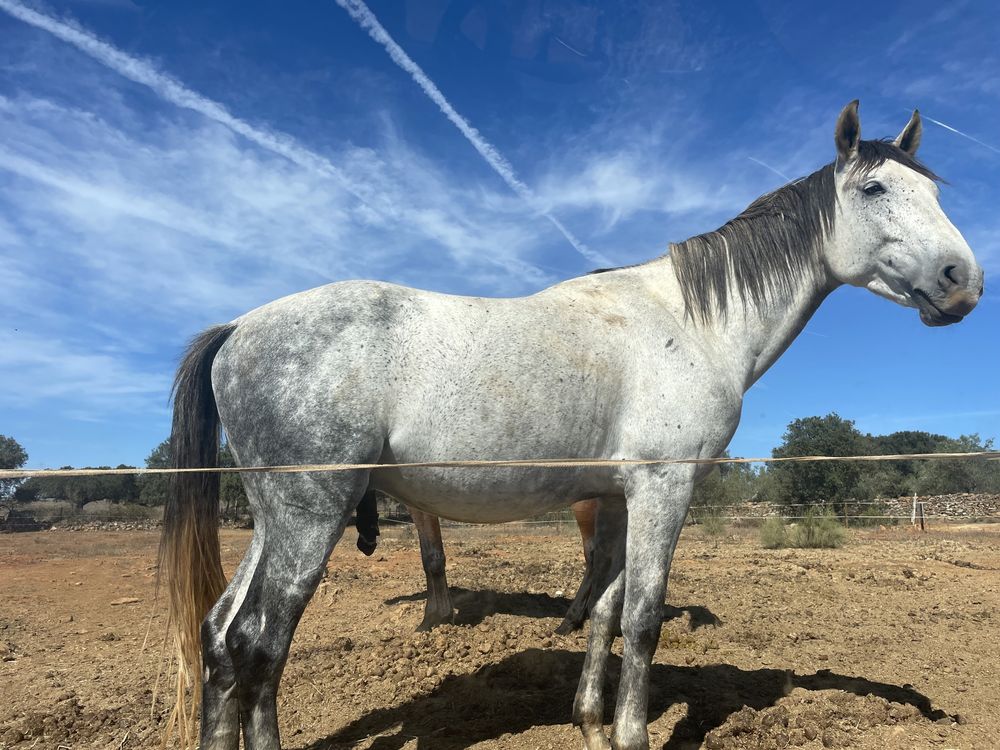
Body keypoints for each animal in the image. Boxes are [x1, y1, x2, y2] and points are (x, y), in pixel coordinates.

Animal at [160, 101, 980, 750]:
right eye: (874, 188)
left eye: (933, 190)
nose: (963, 281)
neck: (691, 322)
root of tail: (239, 329)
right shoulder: (663, 492)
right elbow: (643, 618)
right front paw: (633, 734)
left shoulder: (615, 500)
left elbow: (606, 612)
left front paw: (590, 723)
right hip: (312, 514)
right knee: (261, 646)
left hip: (274, 520)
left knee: (221, 638)